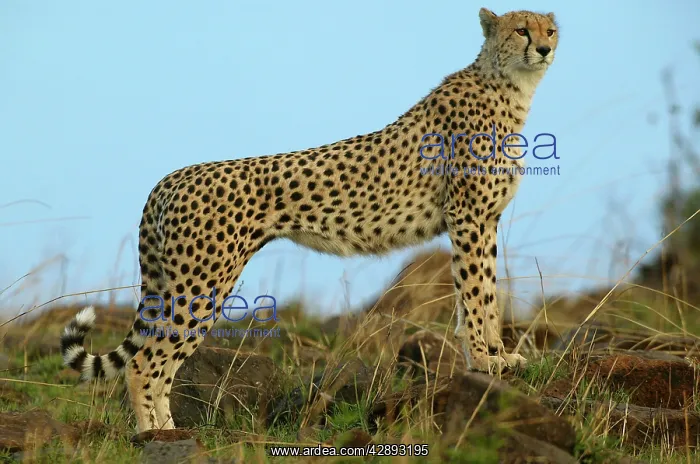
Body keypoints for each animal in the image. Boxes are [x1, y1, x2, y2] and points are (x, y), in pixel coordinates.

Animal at [60, 7, 559, 433]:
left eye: (550, 30)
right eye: (521, 30)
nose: (543, 49)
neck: (508, 85)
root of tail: (172, 177)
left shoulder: (484, 220)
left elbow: (485, 293)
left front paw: (498, 358)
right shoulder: (468, 218)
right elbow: (476, 295)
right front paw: (486, 362)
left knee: (156, 361)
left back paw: (165, 428)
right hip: (202, 283)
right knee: (146, 363)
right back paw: (155, 435)